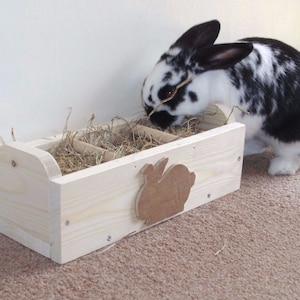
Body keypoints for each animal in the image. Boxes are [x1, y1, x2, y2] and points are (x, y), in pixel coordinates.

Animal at [141, 19, 300, 176]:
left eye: (169, 92)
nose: (154, 119)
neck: (211, 80)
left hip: (281, 135)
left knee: (291, 154)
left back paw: (279, 168)